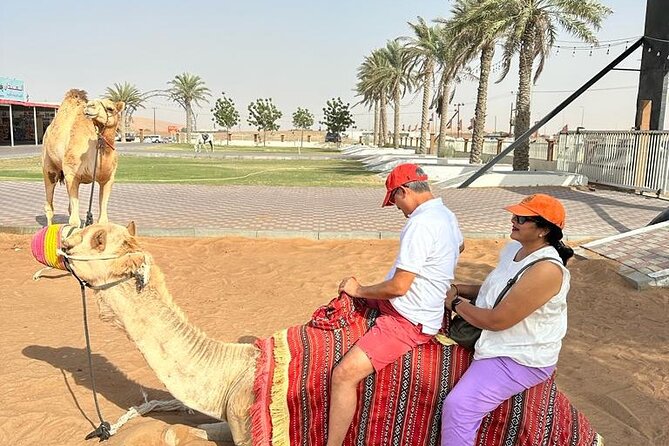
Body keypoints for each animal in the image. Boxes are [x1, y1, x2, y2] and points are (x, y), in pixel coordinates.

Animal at [42, 89, 125, 227]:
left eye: (110, 108)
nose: (90, 105)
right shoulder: (71, 175)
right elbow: (74, 221)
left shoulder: (108, 179)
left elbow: (103, 220)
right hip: (49, 167)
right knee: (49, 206)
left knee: (69, 208)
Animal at [58, 222, 602, 446]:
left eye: (98, 239)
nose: (62, 239)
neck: (238, 370)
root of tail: (584, 423)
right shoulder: (241, 417)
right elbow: (175, 430)